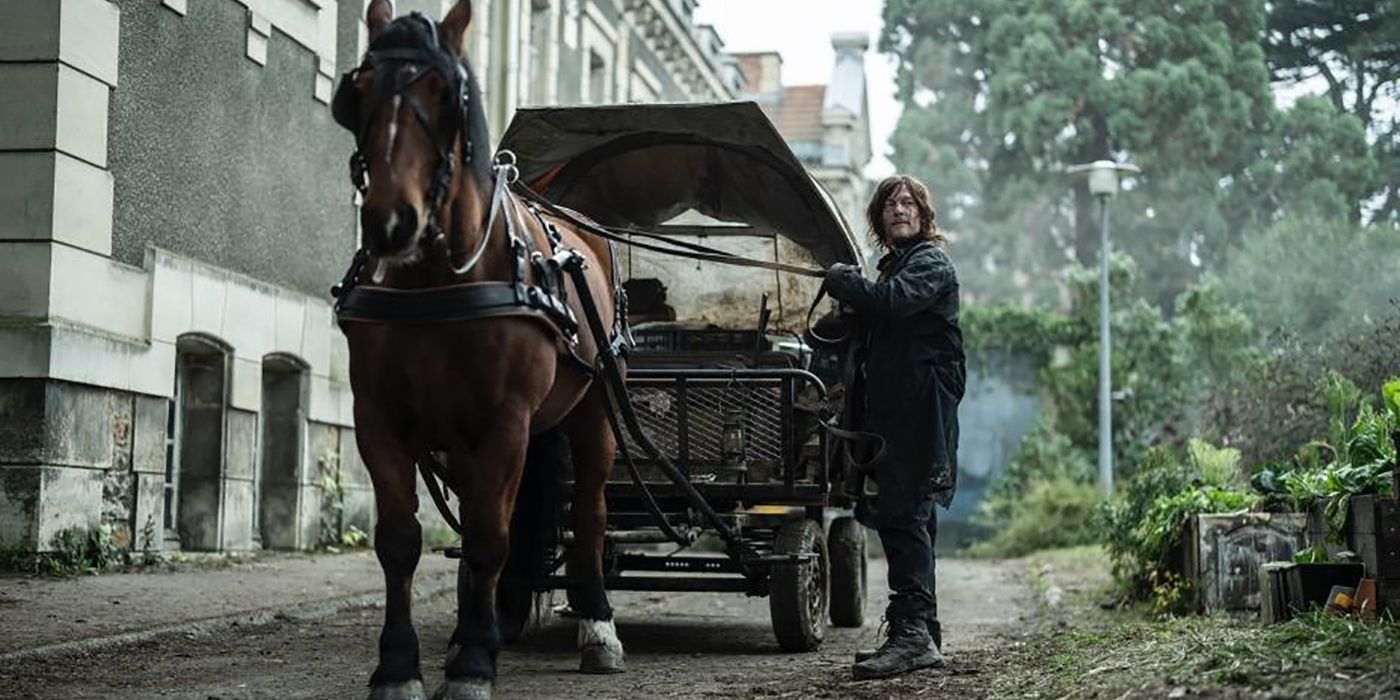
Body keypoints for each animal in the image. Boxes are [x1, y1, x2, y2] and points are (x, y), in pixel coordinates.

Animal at [329, 2, 624, 697]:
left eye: (447, 94)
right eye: (357, 92)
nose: (390, 223)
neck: (436, 281)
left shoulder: (507, 421)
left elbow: (491, 536)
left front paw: (471, 666)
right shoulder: (378, 418)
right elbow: (400, 540)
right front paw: (400, 665)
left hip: (591, 410)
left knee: (590, 510)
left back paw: (595, 624)